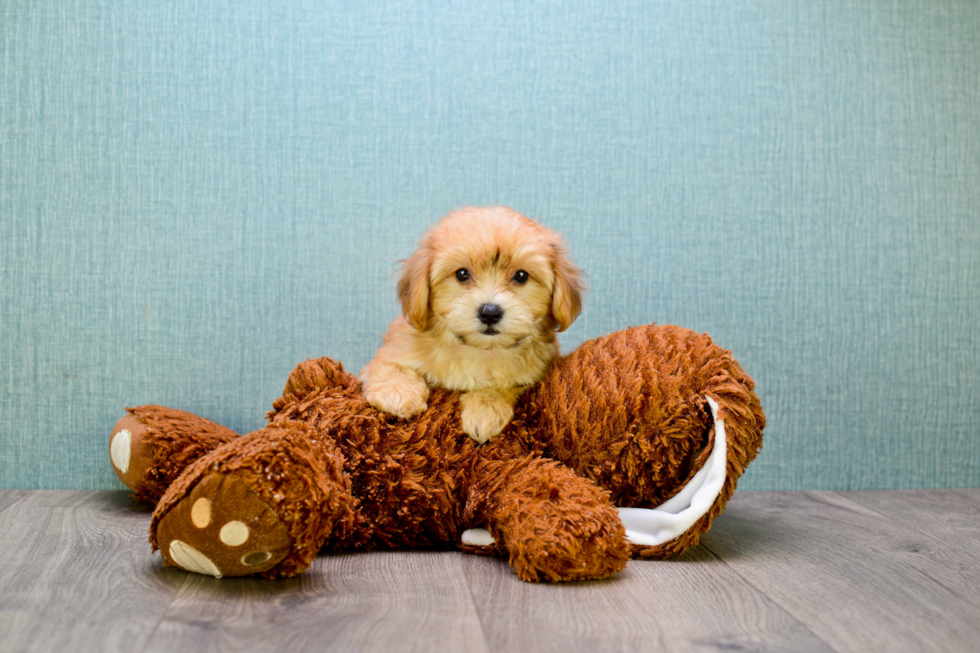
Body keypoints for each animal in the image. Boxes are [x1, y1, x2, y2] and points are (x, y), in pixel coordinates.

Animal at [360, 206, 580, 444]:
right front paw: (398, 393)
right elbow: (390, 366)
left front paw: (485, 409)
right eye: (462, 274)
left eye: (521, 276)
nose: (490, 312)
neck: (476, 350)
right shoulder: (396, 346)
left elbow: (504, 385)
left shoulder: (532, 375)